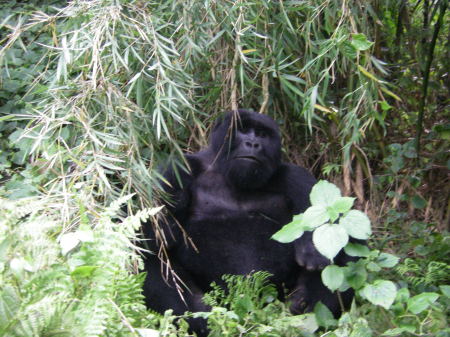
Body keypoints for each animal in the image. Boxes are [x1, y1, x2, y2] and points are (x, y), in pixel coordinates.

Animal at [142, 108, 354, 334]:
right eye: (243, 130)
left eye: (262, 135)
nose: (253, 144)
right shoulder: (175, 169)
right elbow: (149, 236)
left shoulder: (296, 176)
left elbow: (338, 231)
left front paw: (311, 249)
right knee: (150, 258)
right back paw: (201, 318)